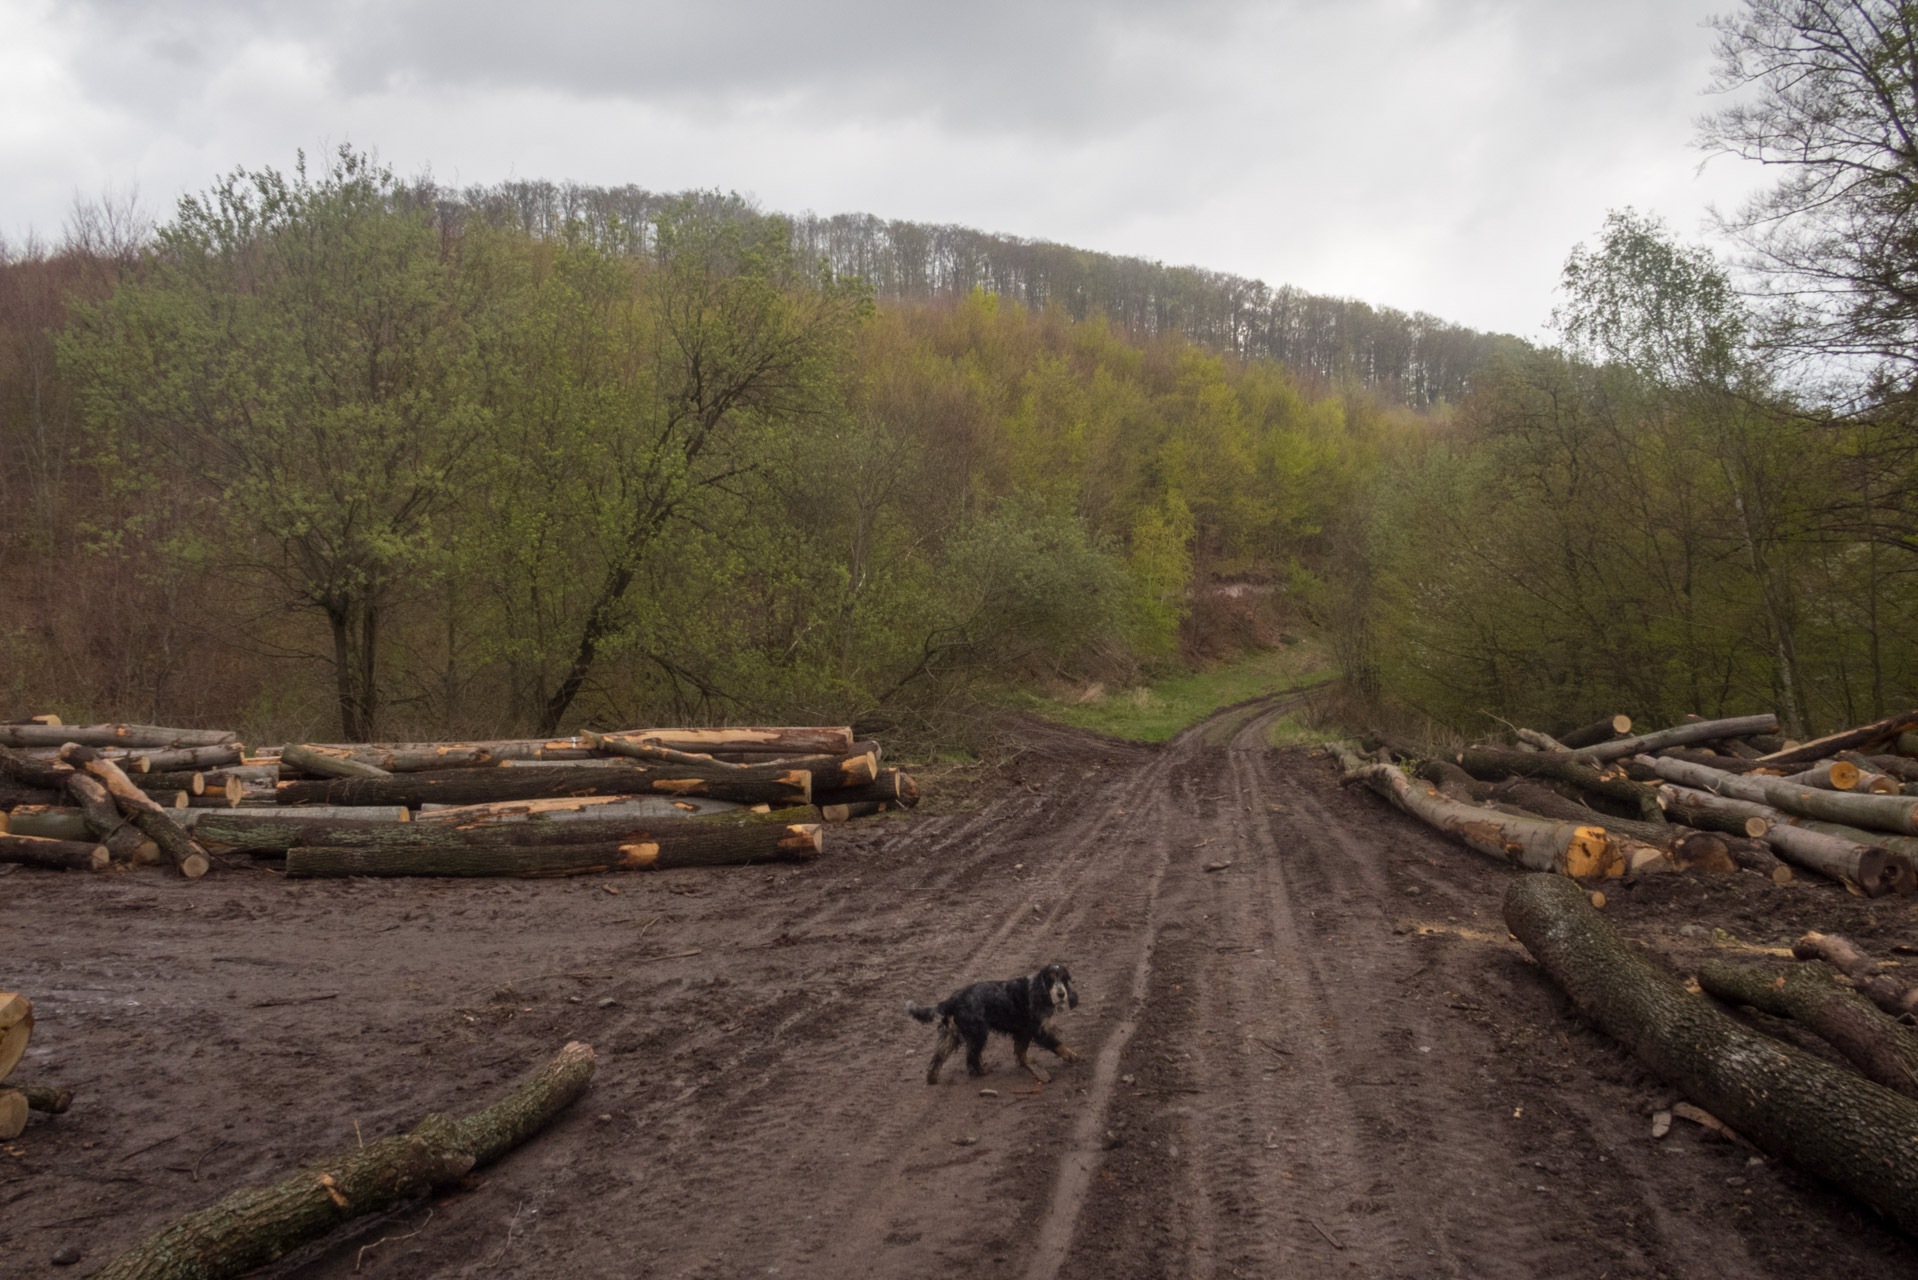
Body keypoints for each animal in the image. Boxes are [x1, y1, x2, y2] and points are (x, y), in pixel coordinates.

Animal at [901, 967, 1074, 1090]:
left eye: (1063, 978)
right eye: (1050, 979)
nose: (1061, 994)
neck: (1038, 989)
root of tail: (952, 999)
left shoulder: (1024, 1031)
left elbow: (1021, 1049)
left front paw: (1026, 1061)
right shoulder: (1038, 1030)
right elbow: (1057, 1043)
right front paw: (1072, 1056)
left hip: (950, 1034)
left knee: (938, 1058)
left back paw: (933, 1079)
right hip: (978, 1034)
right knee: (971, 1057)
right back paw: (982, 1071)